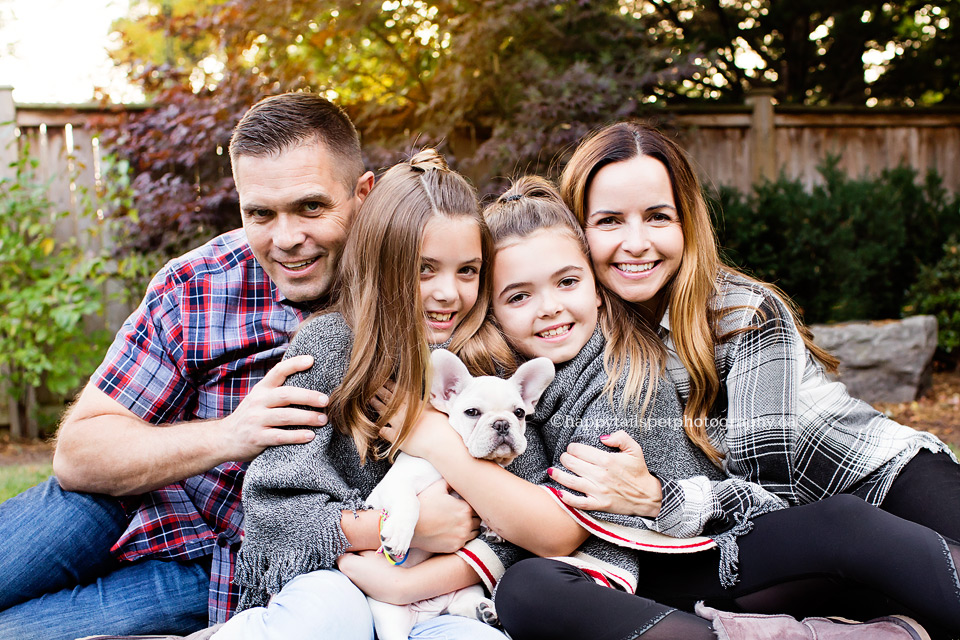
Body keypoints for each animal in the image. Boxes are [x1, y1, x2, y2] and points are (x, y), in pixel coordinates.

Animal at [364, 348, 556, 640]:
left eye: (520, 412)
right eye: (472, 412)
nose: (502, 424)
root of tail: (427, 612)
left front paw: (492, 526)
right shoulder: (395, 484)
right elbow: (410, 503)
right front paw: (397, 536)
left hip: (465, 590)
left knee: (459, 604)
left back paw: (485, 610)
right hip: (389, 614)